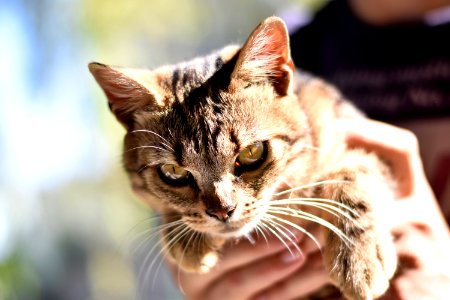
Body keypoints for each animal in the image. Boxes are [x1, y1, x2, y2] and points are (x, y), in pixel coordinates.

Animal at [89, 17, 398, 300]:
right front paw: (187, 241)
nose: (222, 211)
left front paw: (358, 258)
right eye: (173, 172)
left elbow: (354, 177)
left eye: (251, 153)